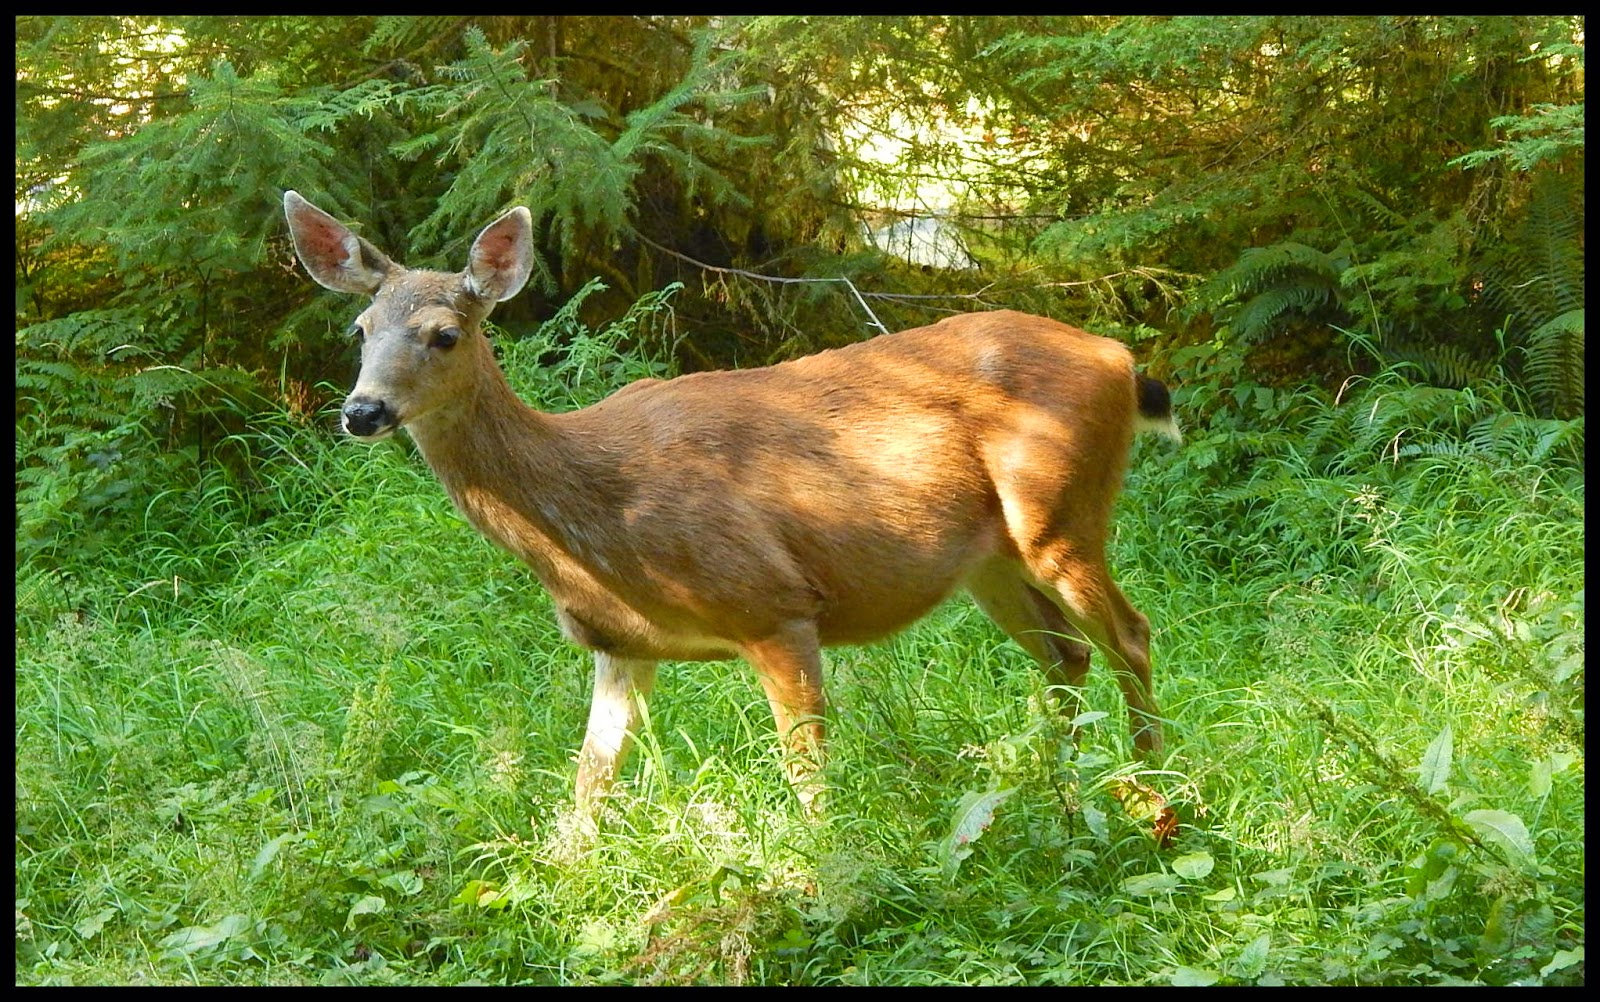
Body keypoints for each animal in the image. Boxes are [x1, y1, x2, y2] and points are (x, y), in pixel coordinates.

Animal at [283, 190, 1179, 814]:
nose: (362, 411)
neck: (593, 524)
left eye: (444, 334)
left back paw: (1155, 786)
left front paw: (823, 881)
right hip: (987, 560)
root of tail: (1117, 355)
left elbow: (807, 778)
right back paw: (1049, 785)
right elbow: (587, 787)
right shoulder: (620, 645)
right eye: (360, 330)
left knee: (1130, 634)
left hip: (1058, 511)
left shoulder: (774, 603)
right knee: (1066, 655)